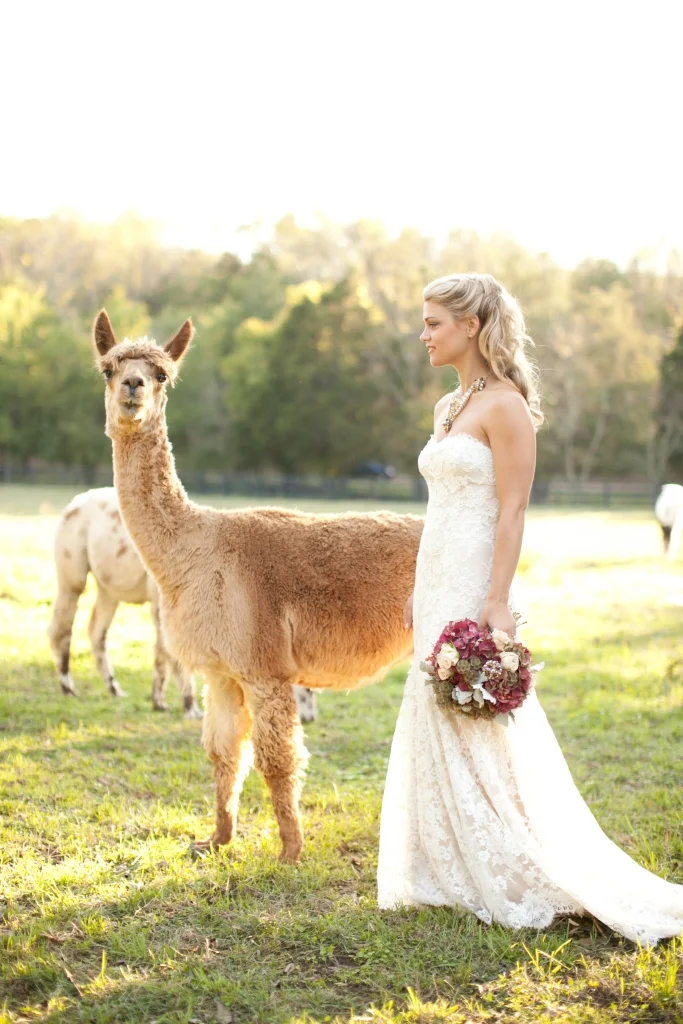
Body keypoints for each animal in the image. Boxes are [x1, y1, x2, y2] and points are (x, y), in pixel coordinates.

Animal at [47, 487, 318, 723]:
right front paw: (187, 707)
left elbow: (163, 652)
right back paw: (67, 687)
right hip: (72, 570)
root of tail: (76, 501)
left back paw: (114, 688)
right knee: (62, 626)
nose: (310, 717)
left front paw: (160, 701)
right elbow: (169, 653)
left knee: (96, 632)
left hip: (108, 588)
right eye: (306, 687)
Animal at [92, 310, 423, 861]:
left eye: (162, 374)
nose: (133, 387)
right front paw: (216, 840)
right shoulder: (222, 673)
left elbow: (277, 761)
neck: (196, 550)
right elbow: (224, 754)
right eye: (108, 368)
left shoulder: (264, 667)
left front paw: (290, 852)